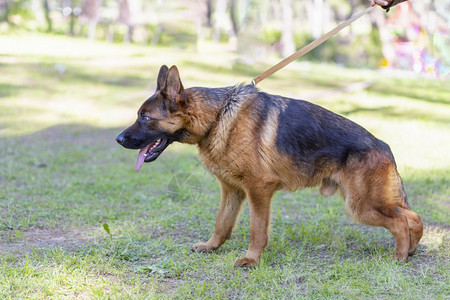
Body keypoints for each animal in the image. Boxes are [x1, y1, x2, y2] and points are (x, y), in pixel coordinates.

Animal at [115, 65, 422, 268]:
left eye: (145, 118)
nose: (119, 139)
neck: (218, 116)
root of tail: (382, 145)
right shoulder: (232, 190)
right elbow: (222, 223)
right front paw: (212, 247)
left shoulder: (258, 190)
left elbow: (257, 229)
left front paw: (251, 260)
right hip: (371, 202)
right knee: (413, 217)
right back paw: (412, 248)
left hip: (361, 205)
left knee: (400, 221)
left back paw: (399, 256)